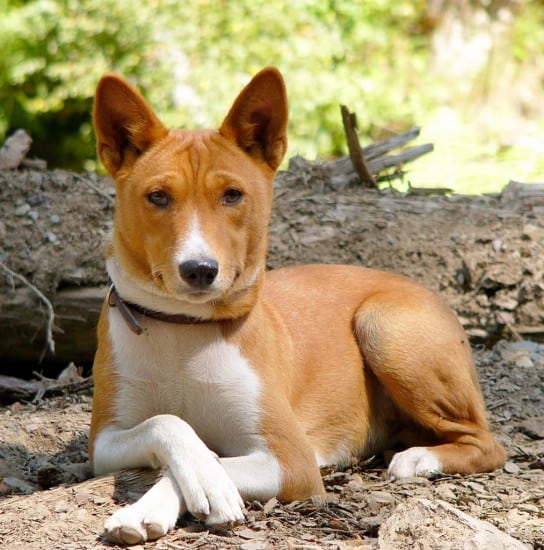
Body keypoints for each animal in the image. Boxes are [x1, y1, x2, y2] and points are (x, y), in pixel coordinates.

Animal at [88, 67, 506, 544]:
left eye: (232, 195)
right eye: (158, 197)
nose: (199, 269)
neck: (186, 332)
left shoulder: (291, 460)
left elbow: (213, 461)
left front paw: (193, 490)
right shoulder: (105, 442)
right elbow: (169, 424)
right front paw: (179, 488)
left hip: (384, 328)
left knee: (489, 444)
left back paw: (418, 458)